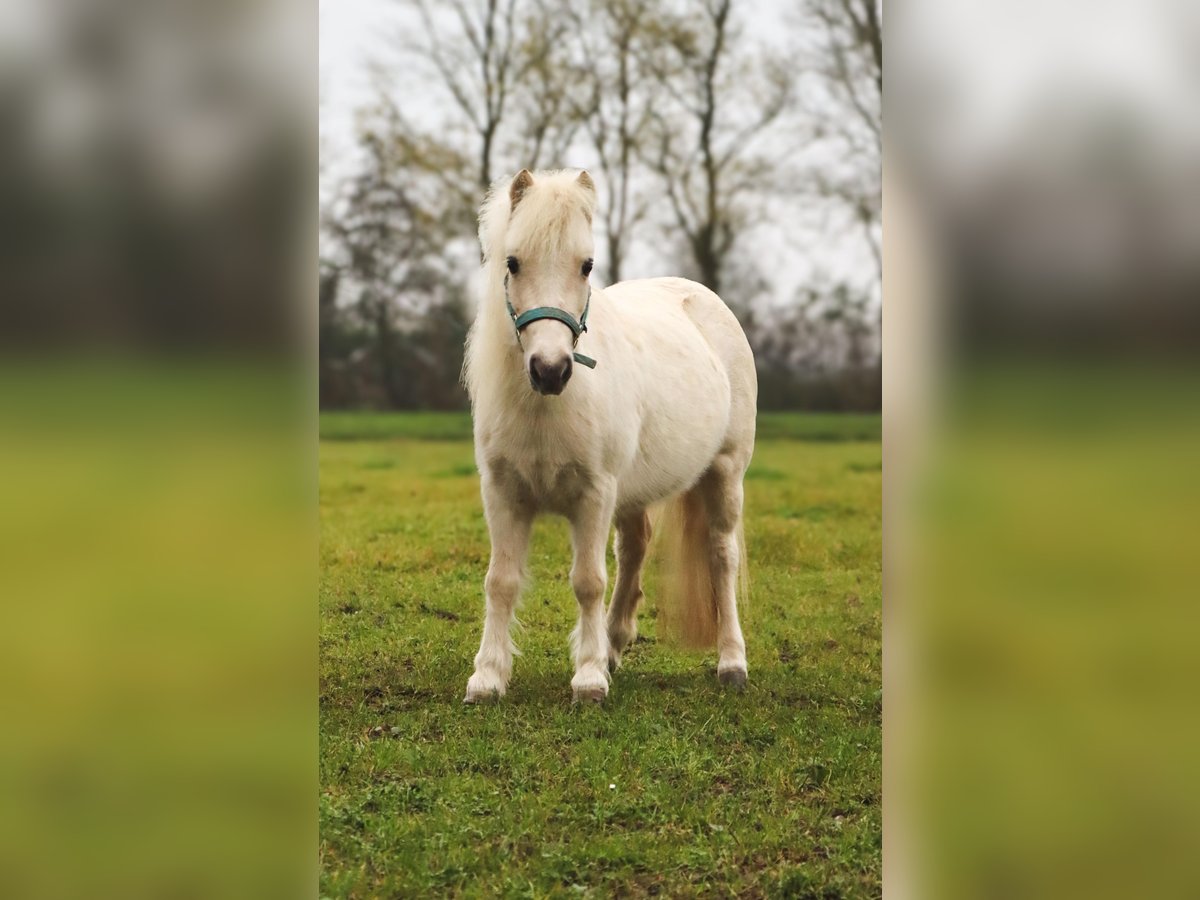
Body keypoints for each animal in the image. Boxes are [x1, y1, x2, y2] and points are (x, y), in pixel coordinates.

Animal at [463, 169, 753, 705]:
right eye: (513, 262)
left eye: (587, 265)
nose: (550, 370)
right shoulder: (503, 493)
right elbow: (501, 581)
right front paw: (488, 678)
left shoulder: (594, 494)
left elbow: (588, 582)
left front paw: (589, 679)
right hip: (633, 491)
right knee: (635, 548)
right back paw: (615, 645)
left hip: (725, 473)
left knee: (721, 557)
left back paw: (731, 663)